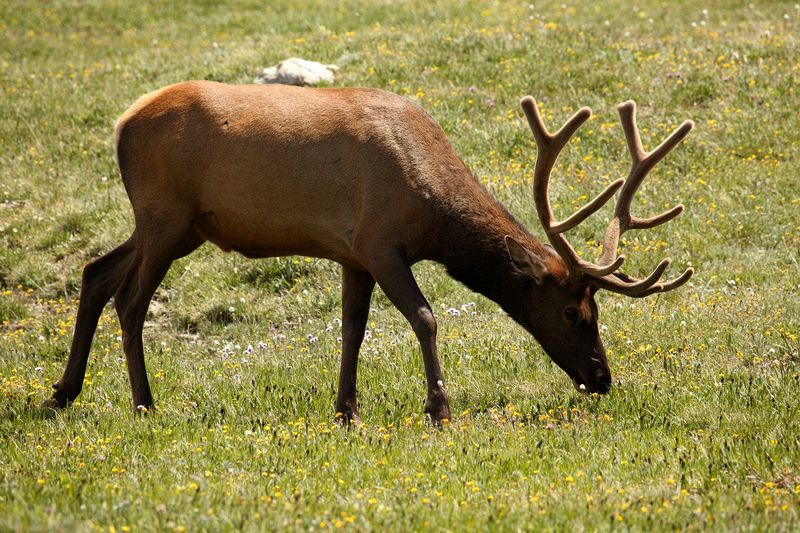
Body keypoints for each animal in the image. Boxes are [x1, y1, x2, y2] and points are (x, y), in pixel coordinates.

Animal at [48, 81, 694, 424]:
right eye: (572, 311)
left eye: (596, 311)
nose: (602, 376)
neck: (433, 207)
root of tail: (121, 124)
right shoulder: (379, 242)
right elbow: (425, 317)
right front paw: (439, 407)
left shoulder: (351, 255)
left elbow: (352, 329)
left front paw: (346, 410)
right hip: (165, 216)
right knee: (130, 301)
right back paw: (144, 403)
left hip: (174, 226)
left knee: (95, 271)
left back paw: (63, 391)